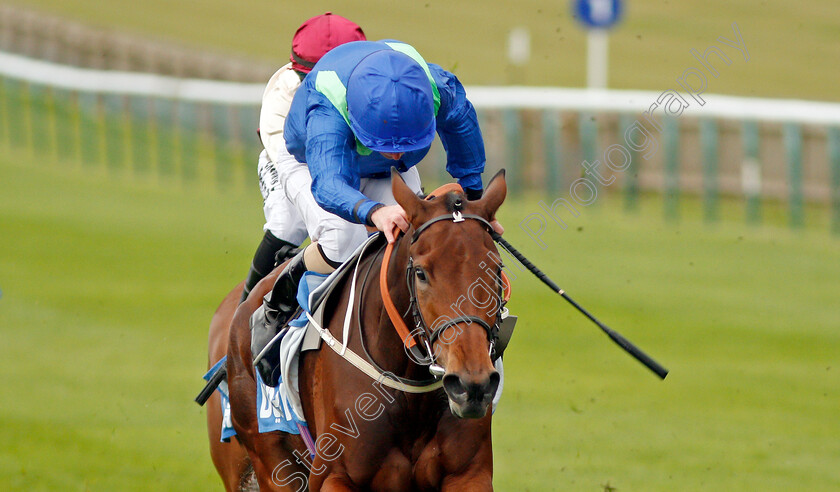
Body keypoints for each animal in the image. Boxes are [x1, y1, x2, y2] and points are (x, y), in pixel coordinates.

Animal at [210, 171, 508, 490]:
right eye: (421, 273)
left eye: (495, 269)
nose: (471, 384)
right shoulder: (332, 475)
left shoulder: (469, 473)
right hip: (268, 462)